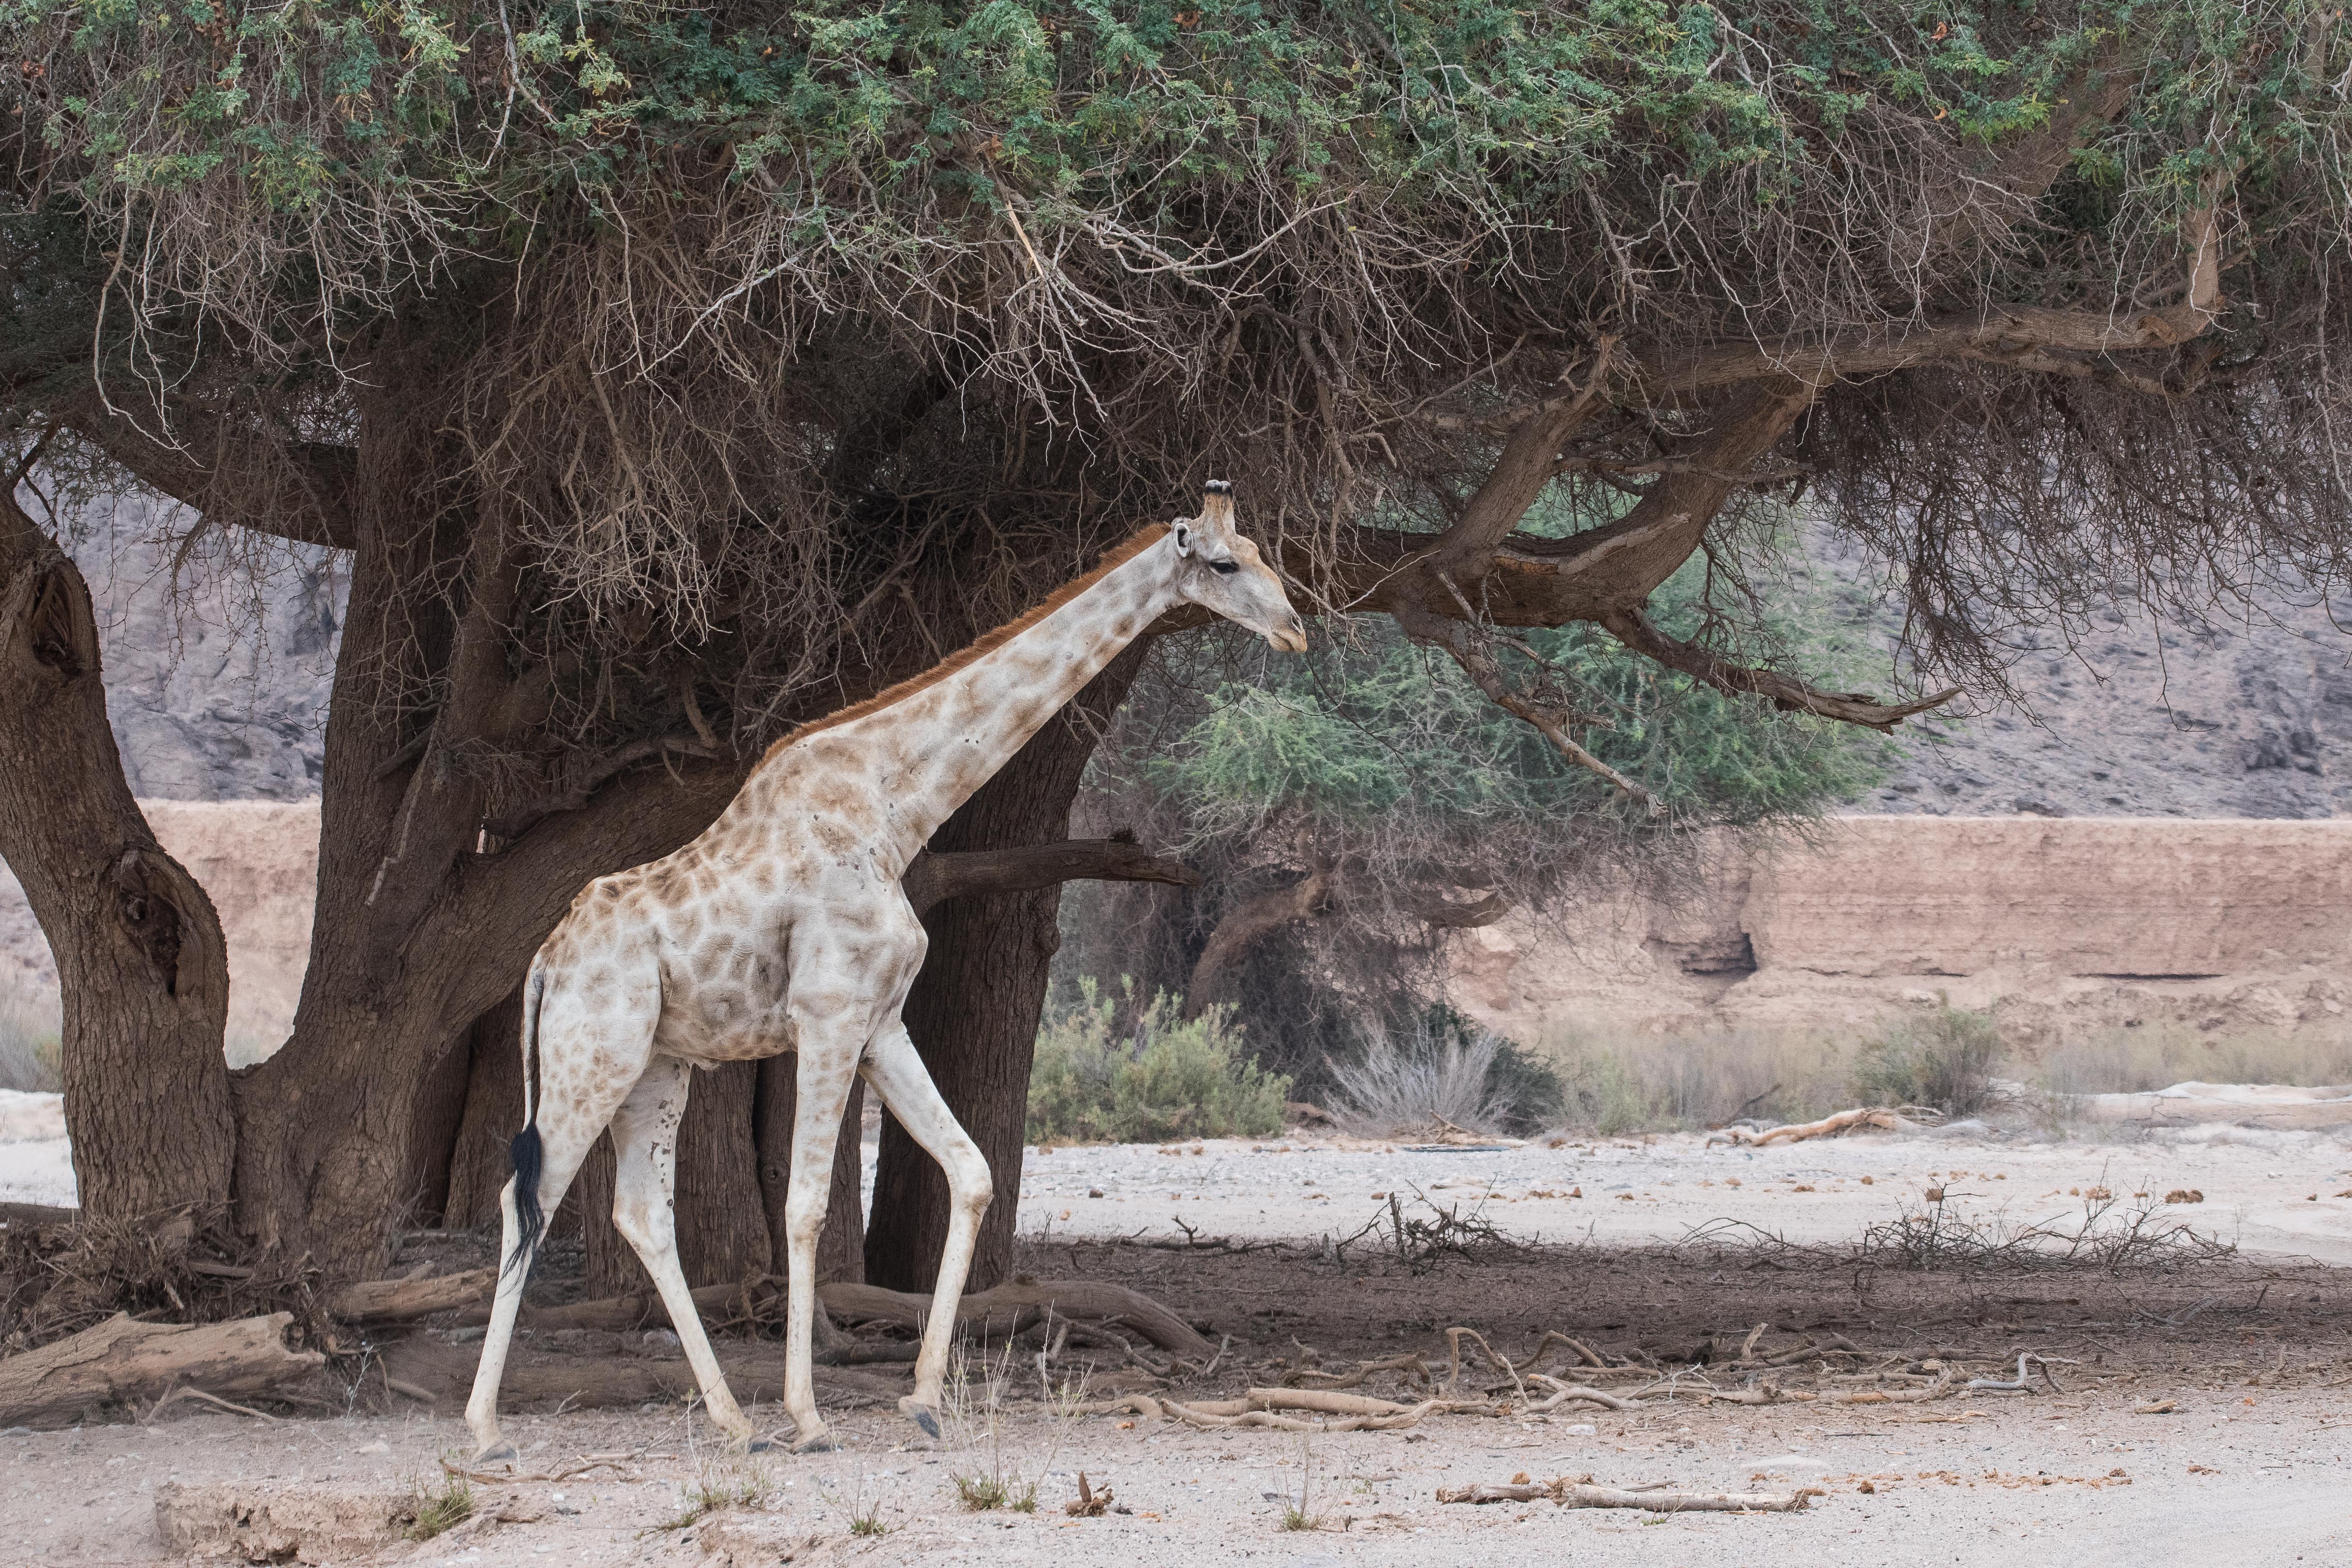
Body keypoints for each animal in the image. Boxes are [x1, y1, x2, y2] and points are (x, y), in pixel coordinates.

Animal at [458, 482, 1307, 1457]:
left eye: (1262, 552)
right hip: (589, 1055)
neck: (896, 809)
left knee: (640, 1210)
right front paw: (809, 1414)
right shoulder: (827, 1016)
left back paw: (731, 1420)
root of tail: (543, 962)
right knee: (525, 1193)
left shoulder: (881, 1024)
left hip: (656, 1065)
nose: (1295, 628)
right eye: (1225, 563)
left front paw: (925, 1397)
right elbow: (805, 1207)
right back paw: (487, 1427)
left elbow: (972, 1171)